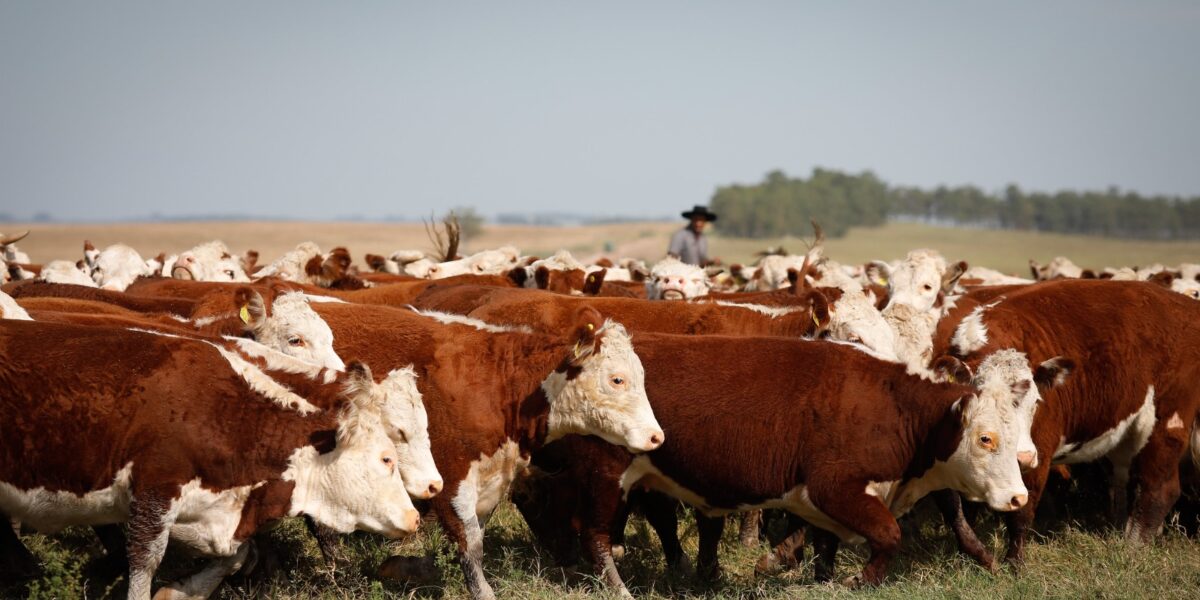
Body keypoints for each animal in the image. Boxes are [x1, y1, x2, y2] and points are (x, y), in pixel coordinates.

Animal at [0, 324, 429, 600]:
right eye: (388, 454)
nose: (416, 516)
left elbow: (239, 554)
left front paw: (182, 591)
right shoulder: (155, 493)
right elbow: (144, 562)